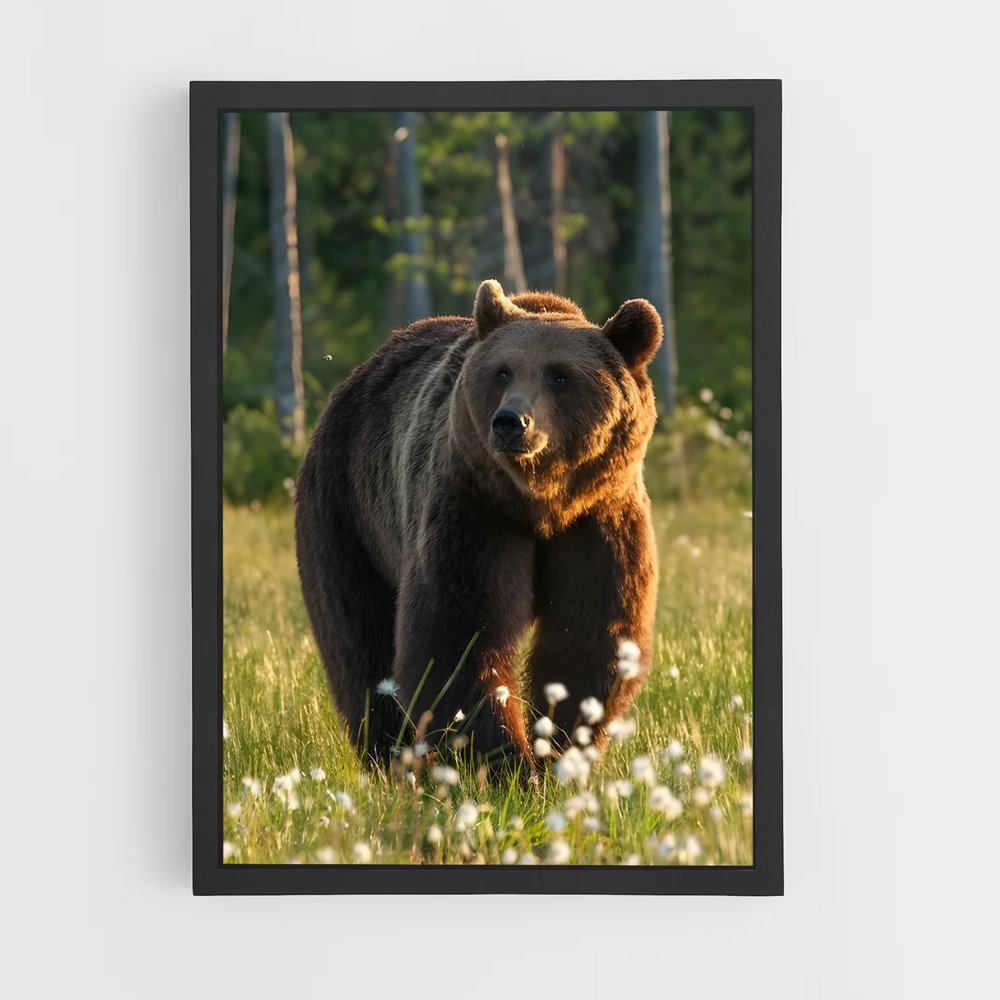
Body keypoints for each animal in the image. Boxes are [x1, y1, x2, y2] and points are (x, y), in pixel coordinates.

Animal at [294, 279, 661, 769]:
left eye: (560, 375)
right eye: (503, 372)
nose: (510, 422)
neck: (541, 502)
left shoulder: (599, 518)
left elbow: (590, 635)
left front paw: (557, 749)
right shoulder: (473, 510)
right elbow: (458, 634)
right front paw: (508, 762)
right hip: (348, 515)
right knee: (359, 640)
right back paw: (394, 757)